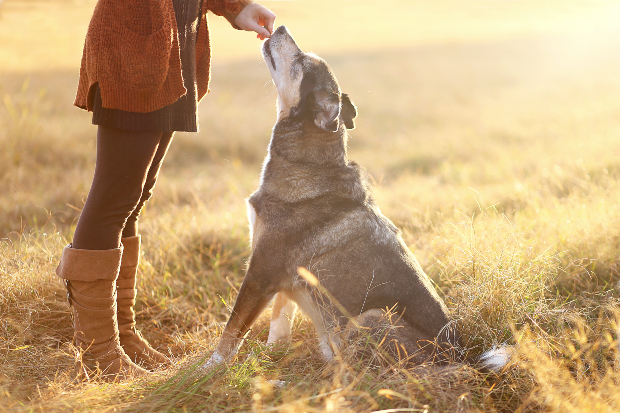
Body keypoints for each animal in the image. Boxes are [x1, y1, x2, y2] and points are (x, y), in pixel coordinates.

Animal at [206, 25, 506, 366]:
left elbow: (231, 333)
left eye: (301, 62)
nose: (279, 27)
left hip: (370, 317)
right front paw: (273, 359)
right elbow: (279, 324)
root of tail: (463, 358)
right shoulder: (283, 279)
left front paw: (208, 371)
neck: (308, 164)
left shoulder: (261, 272)